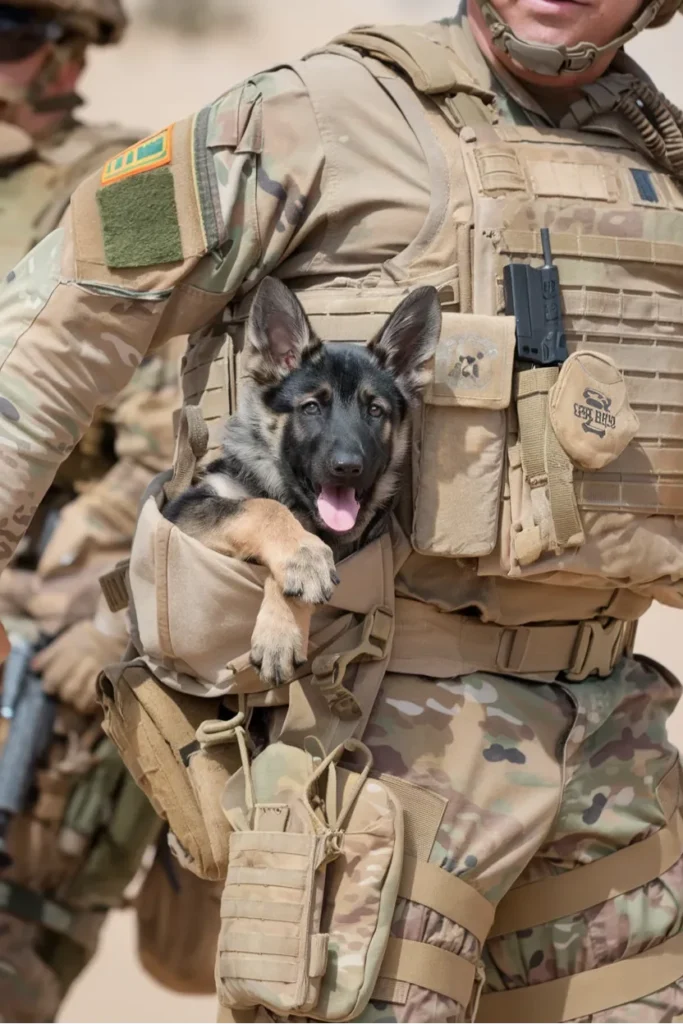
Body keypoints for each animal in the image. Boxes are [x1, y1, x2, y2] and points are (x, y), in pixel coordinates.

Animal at [165, 276, 444, 684]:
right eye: (311, 407)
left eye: (375, 410)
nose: (348, 467)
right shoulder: (188, 511)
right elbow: (262, 507)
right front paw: (303, 557)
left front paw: (281, 628)